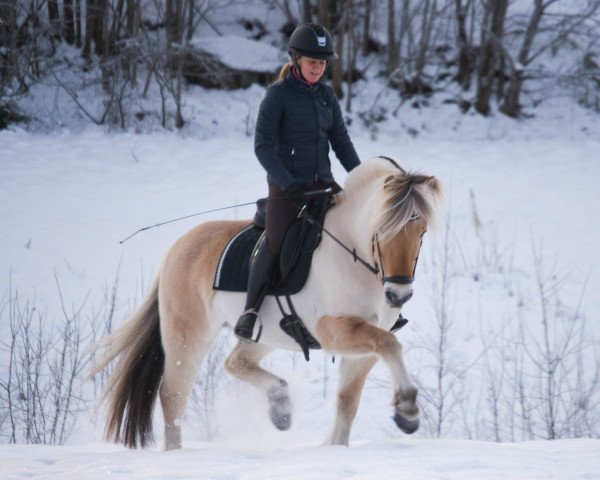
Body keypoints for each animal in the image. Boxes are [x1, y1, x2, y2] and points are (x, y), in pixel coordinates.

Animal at [91, 157, 442, 450]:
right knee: (173, 394)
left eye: (422, 231)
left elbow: (348, 399)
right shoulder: (333, 329)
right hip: (188, 333)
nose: (398, 295)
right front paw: (408, 409)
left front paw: (338, 446)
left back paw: (280, 406)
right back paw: (176, 453)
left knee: (234, 362)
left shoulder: (364, 341)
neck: (353, 254)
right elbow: (391, 345)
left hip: (265, 334)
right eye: (382, 230)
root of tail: (176, 248)